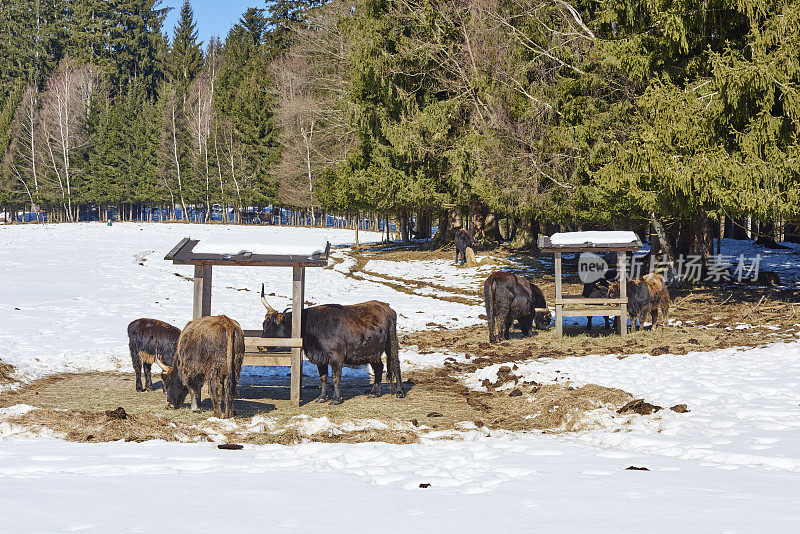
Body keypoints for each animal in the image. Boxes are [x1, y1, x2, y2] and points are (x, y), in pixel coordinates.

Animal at [260, 288, 404, 406]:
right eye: (263, 324)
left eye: (270, 325)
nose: (261, 347)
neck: (311, 325)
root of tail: (386, 307)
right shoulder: (320, 358)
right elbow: (323, 378)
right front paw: (322, 397)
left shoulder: (336, 356)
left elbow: (335, 377)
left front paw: (336, 399)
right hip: (372, 351)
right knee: (379, 367)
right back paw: (374, 392)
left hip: (391, 343)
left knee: (396, 365)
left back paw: (399, 392)